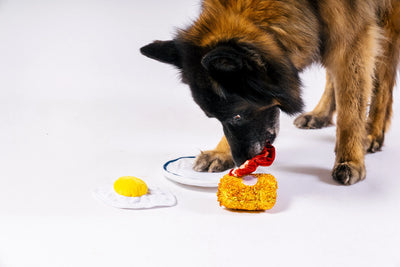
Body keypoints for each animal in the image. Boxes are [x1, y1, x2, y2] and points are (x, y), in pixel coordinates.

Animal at [139, 0, 398, 186]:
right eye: (216, 118)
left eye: (237, 116)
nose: (240, 162)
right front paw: (220, 153)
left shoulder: (355, 35)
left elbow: (351, 107)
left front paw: (350, 159)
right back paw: (320, 114)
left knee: (383, 79)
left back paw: (372, 133)